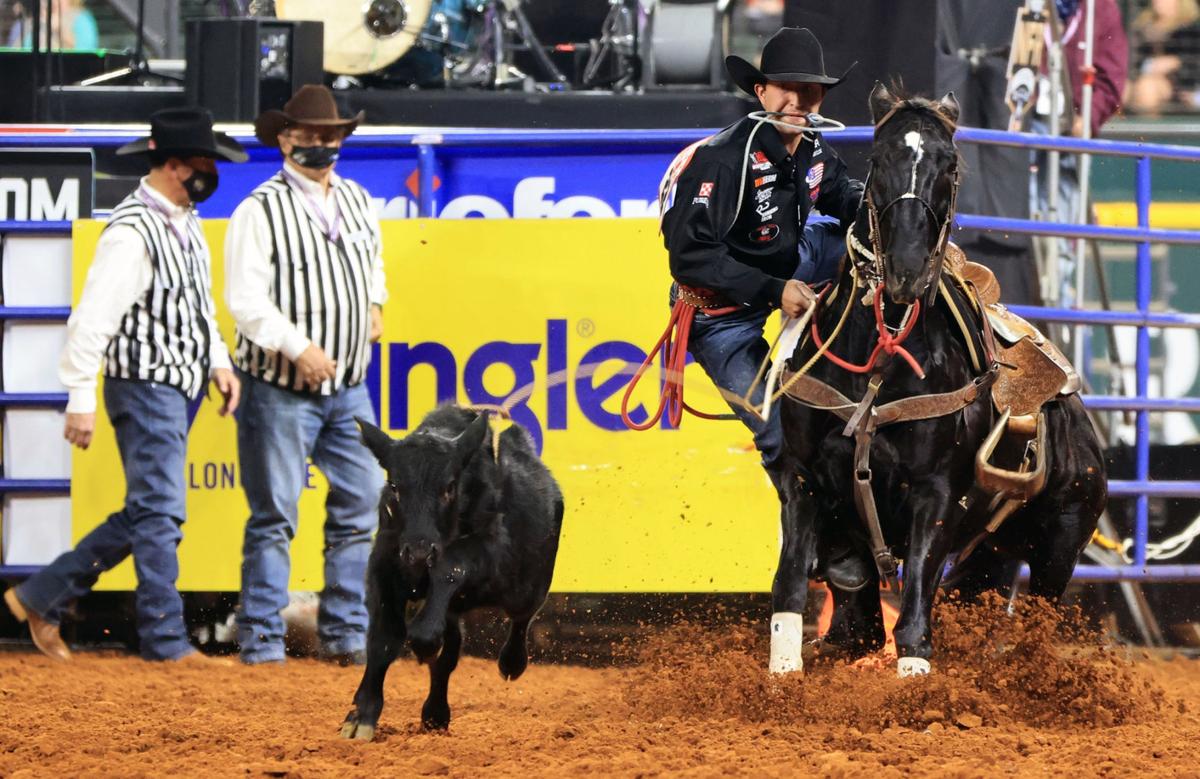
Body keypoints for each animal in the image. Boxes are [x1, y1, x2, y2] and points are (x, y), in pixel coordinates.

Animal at [338, 403, 561, 739]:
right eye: (395, 487)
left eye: (449, 487)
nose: (419, 551)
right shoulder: (384, 563)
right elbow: (384, 640)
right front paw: (360, 717)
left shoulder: (487, 549)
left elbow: (450, 568)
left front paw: (424, 641)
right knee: (450, 653)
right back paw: (435, 713)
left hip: (527, 586)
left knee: (521, 617)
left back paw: (511, 662)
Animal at [777, 85, 1104, 676]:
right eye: (878, 158)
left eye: (950, 165)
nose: (906, 271)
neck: (879, 368)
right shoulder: (803, 479)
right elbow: (790, 586)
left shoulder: (936, 498)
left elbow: (912, 621)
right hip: (990, 558)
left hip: (1060, 544)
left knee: (1039, 619)